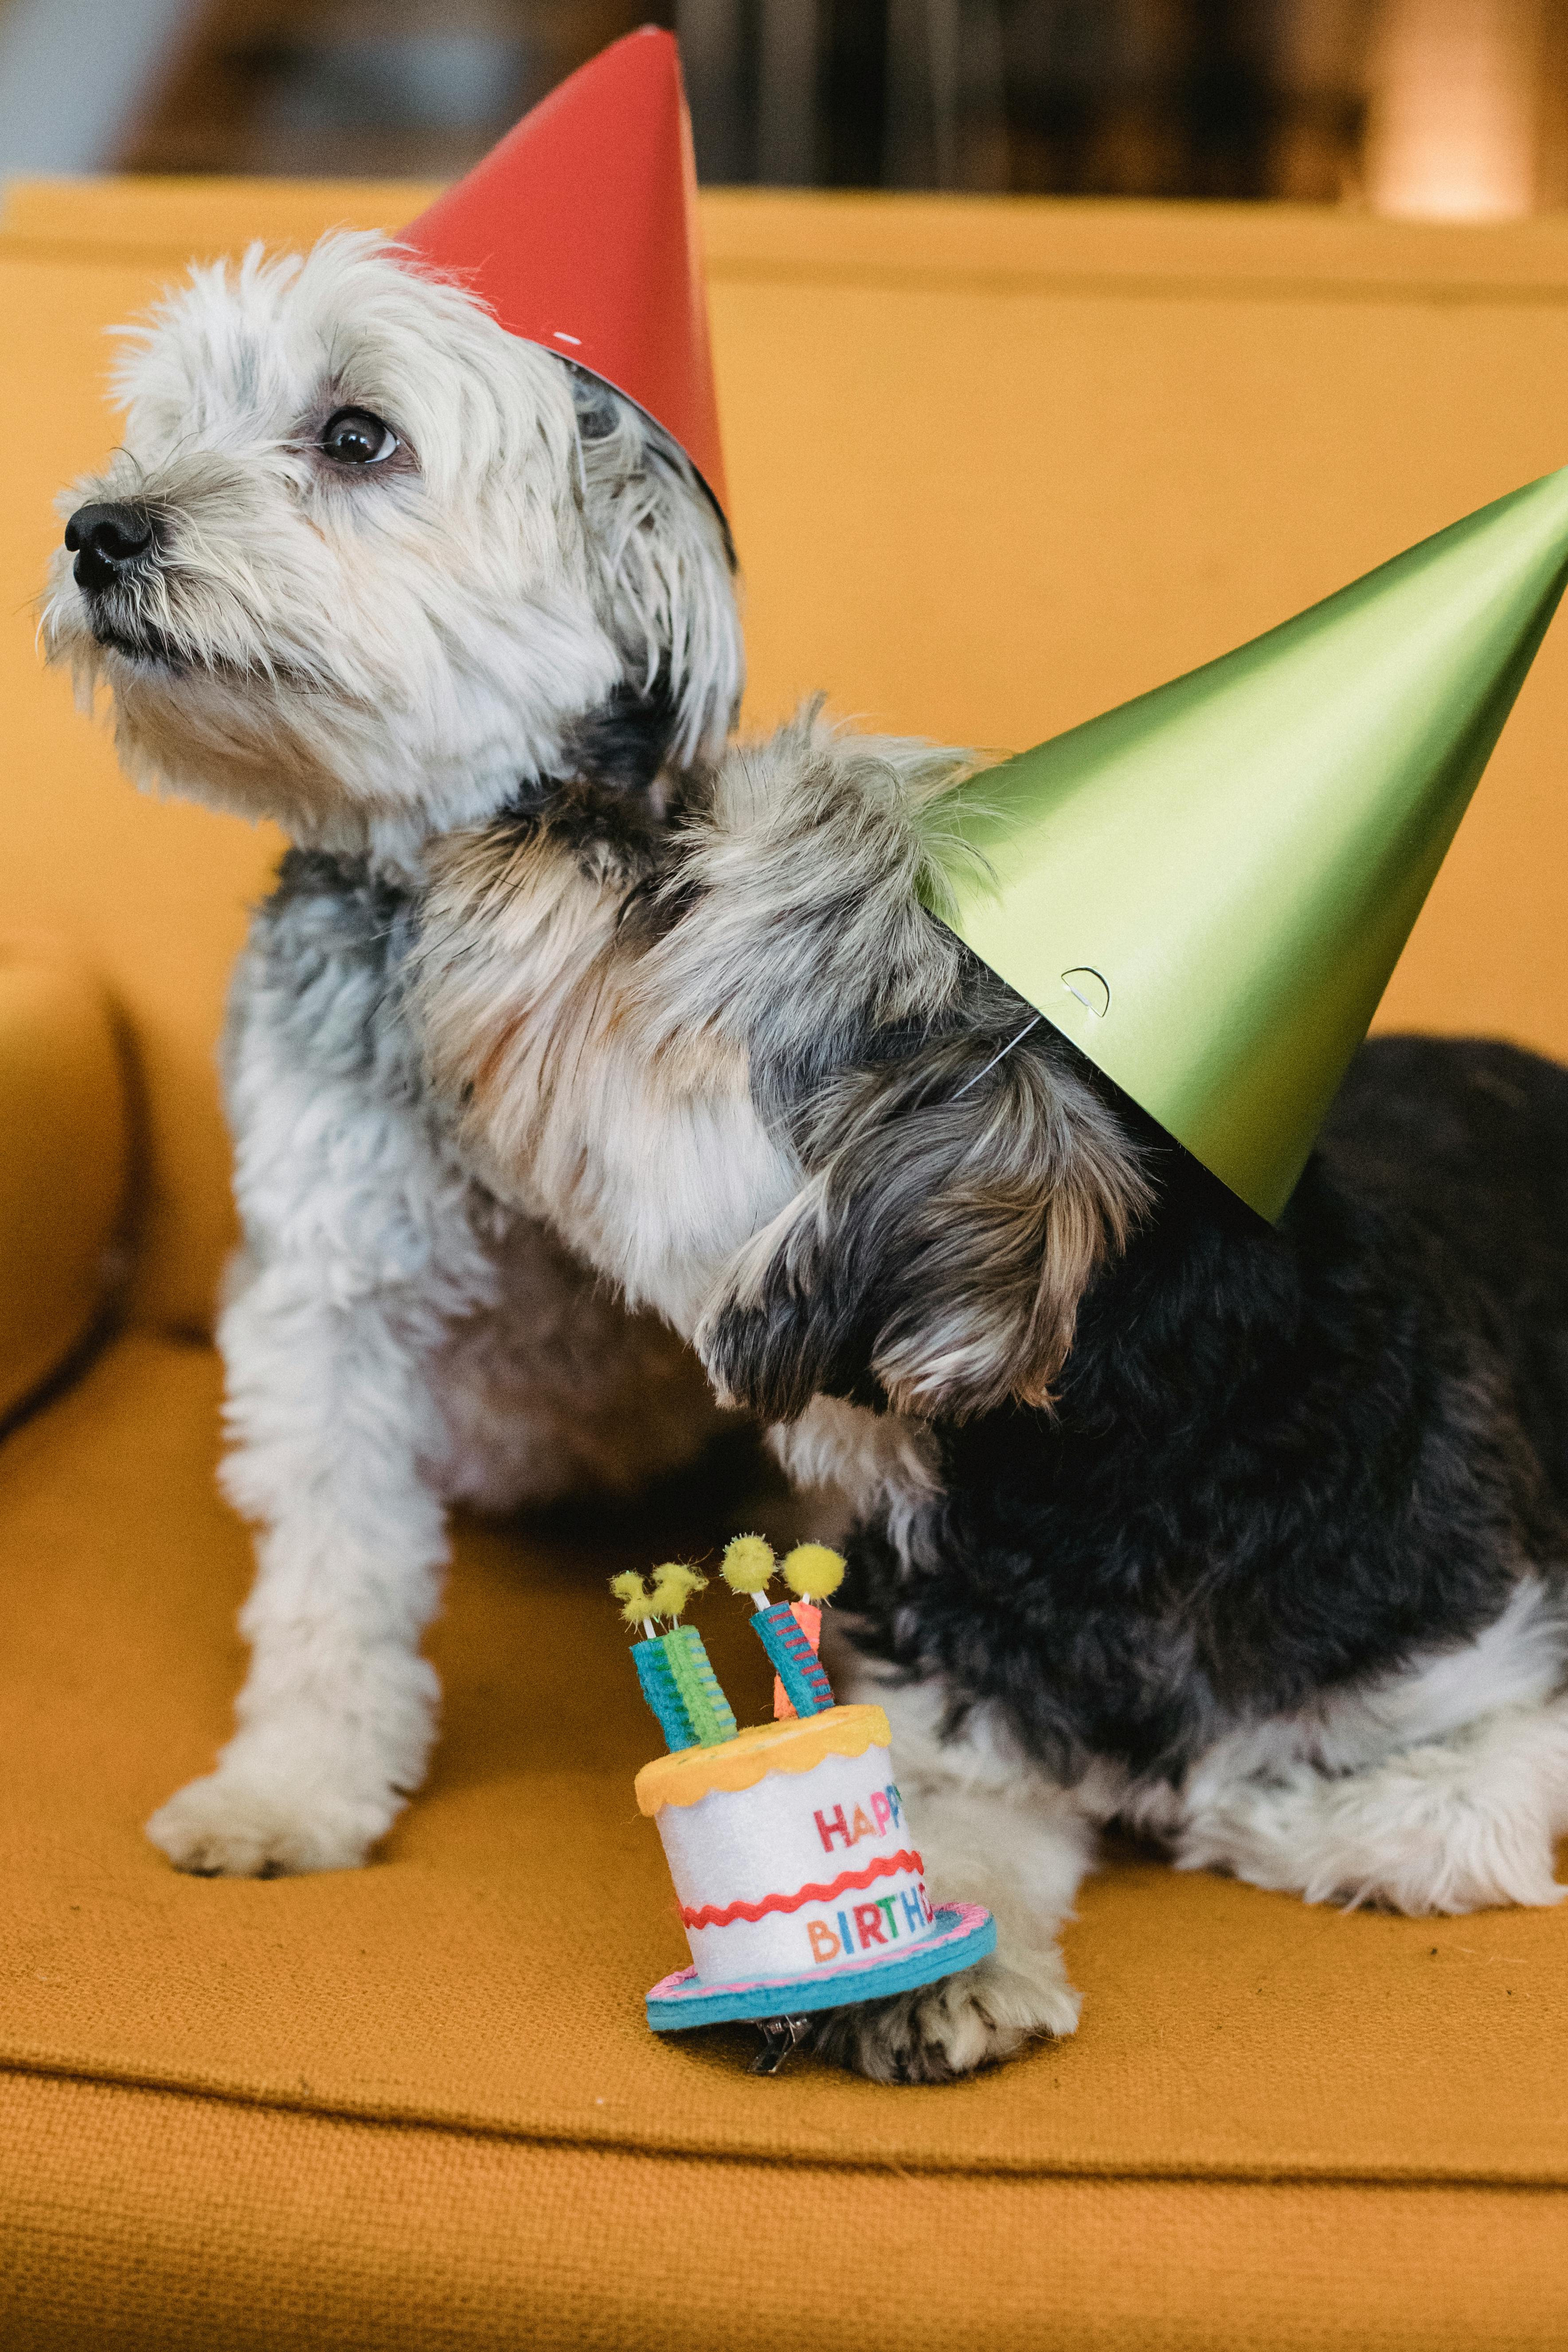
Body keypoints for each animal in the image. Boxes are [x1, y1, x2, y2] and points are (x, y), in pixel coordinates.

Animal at [43, 229, 743, 1863]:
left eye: (357, 435)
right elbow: (328, 1584)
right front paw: (296, 1787)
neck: (473, 909)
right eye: (170, 422)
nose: (96, 528)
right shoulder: (331, 1298)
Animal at [416, 696, 1568, 2079]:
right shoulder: (942, 1711)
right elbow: (933, 1827)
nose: (527, 800)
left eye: (673, 888)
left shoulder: (1495, 1676)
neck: (1134, 1473)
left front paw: (1243, 1810)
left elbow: (1416, 1815)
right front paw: (930, 1971)